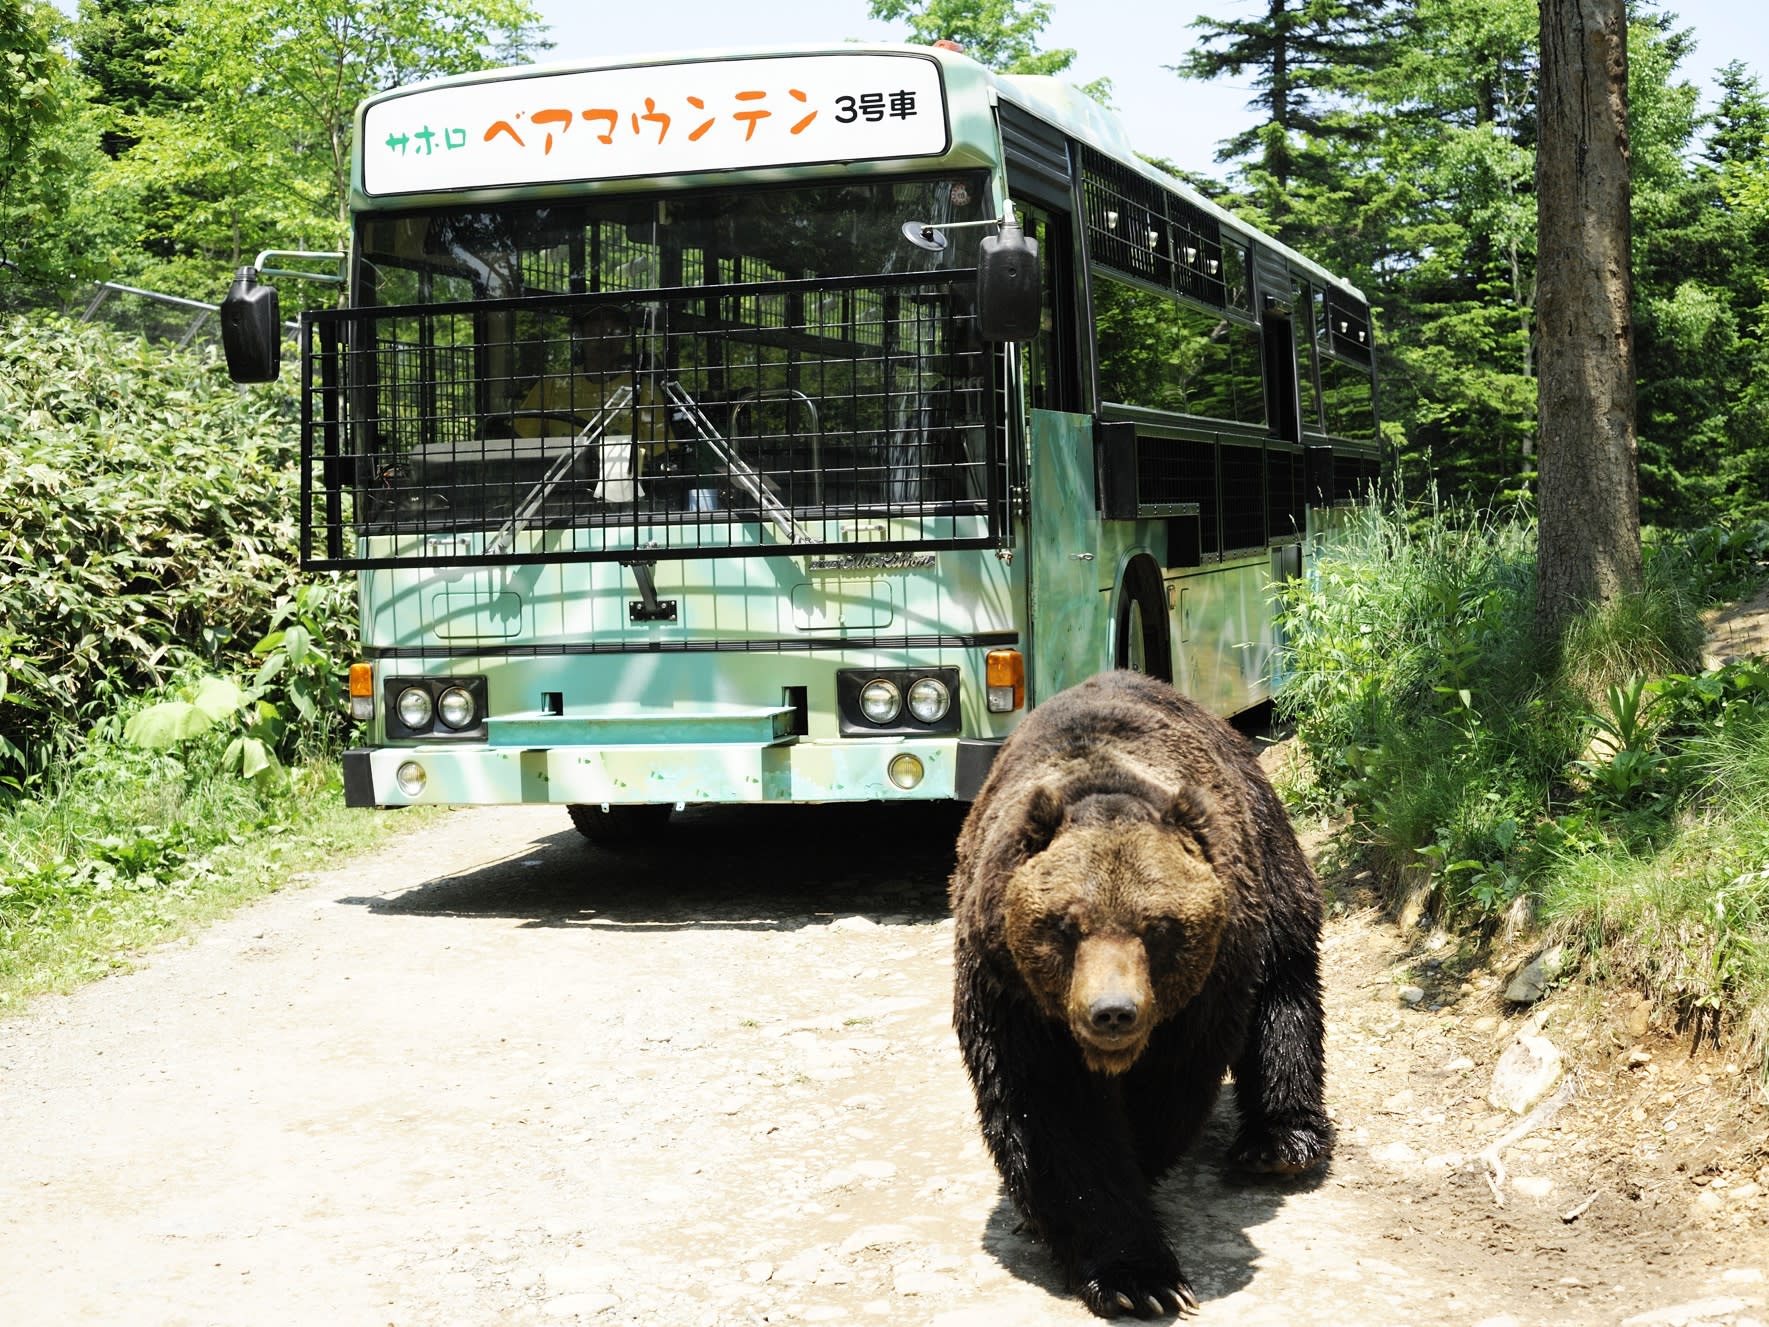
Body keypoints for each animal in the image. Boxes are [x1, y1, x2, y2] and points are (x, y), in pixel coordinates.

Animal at [955, 675, 1330, 1323]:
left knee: (1286, 989)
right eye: (1066, 924)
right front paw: (1136, 1276)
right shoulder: (1012, 998)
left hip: (1269, 867)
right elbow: (1054, 1116)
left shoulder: (1201, 996)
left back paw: (1281, 1143)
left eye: (1157, 927)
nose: (1112, 1011)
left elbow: (1166, 1091)